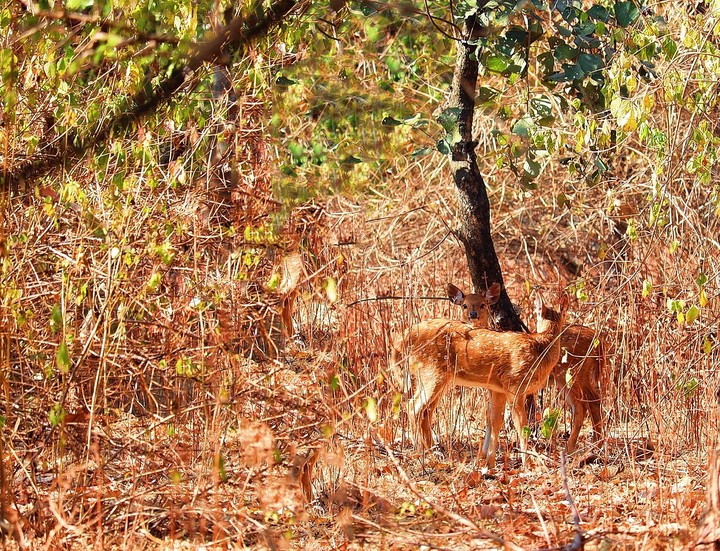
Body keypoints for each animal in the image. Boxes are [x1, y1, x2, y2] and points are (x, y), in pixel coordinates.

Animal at [392, 287, 569, 468]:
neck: (540, 349)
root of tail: (401, 340)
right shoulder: (514, 384)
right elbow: (521, 426)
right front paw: (528, 464)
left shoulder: (499, 389)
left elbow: (495, 421)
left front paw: (489, 462)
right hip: (431, 371)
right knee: (413, 407)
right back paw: (423, 453)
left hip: (439, 378)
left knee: (424, 410)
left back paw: (432, 451)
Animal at [450, 285, 605, 453]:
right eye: (464, 305)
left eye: (483, 305)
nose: (472, 315)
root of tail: (597, 339)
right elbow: (490, 418)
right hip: (574, 376)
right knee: (591, 401)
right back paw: (594, 444)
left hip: (570, 372)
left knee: (584, 404)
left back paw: (576, 447)